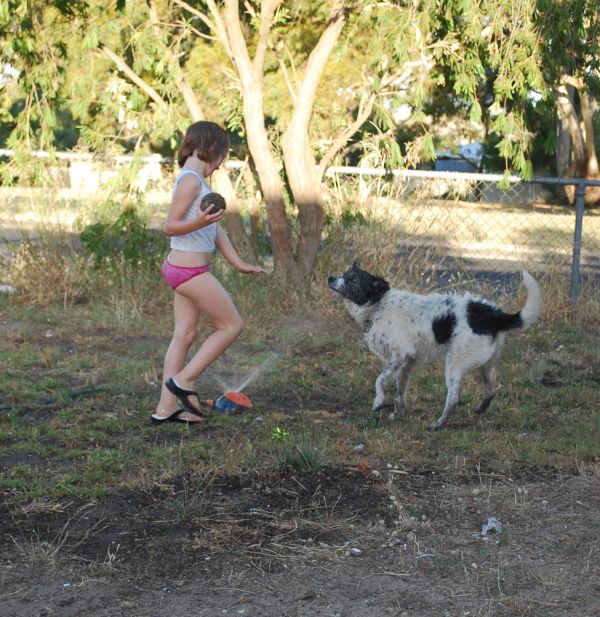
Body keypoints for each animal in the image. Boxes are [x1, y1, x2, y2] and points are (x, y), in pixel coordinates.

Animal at [328, 264, 544, 428]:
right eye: (344, 275)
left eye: (353, 279)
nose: (330, 278)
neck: (378, 304)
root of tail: (492, 314)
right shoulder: (405, 364)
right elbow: (399, 392)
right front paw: (397, 414)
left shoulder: (397, 357)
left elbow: (379, 381)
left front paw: (378, 402)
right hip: (487, 364)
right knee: (491, 391)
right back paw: (479, 409)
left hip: (455, 364)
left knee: (454, 397)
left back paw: (438, 424)